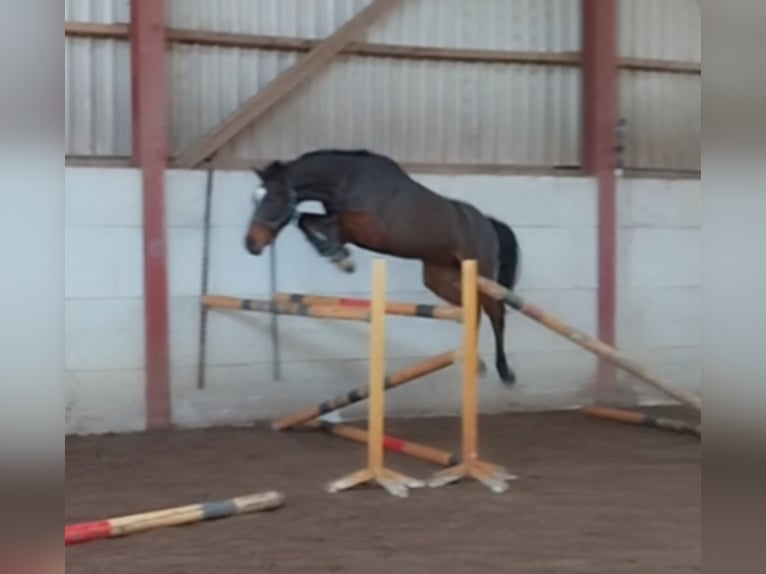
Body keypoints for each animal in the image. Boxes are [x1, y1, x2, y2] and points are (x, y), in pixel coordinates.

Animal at [246, 148, 520, 388]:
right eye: (254, 199)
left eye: (272, 198)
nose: (250, 244)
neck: (349, 180)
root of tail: (488, 223)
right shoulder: (350, 230)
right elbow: (308, 221)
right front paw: (338, 255)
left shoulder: (369, 228)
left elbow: (326, 219)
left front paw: (340, 257)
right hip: (440, 278)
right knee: (473, 311)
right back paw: (476, 365)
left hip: (481, 273)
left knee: (495, 314)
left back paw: (505, 372)